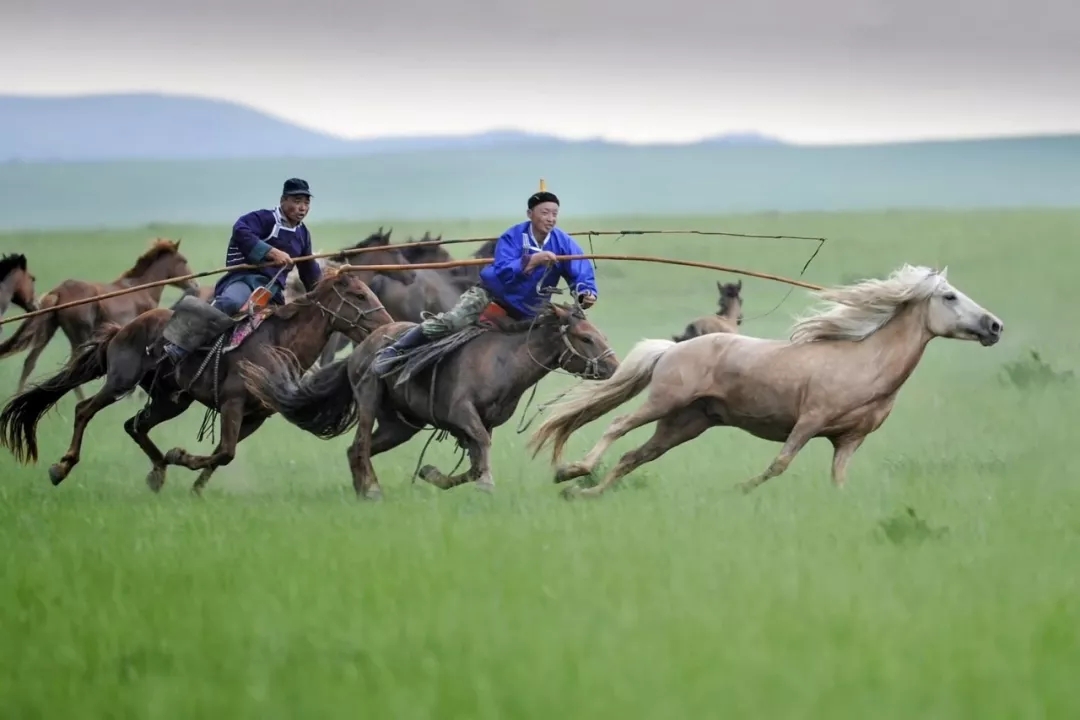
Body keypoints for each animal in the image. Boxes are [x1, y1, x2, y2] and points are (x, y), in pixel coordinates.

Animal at [0, 239, 198, 403]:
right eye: (184, 260)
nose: (194, 285)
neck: (142, 289)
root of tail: (59, 291)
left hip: (48, 331)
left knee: (30, 362)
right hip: (80, 336)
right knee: (71, 366)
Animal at [0, 264, 395, 496]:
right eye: (359, 294)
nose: (386, 324)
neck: (276, 342)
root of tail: (121, 330)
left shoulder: (254, 415)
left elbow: (223, 454)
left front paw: (192, 484)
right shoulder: (233, 404)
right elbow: (226, 452)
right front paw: (182, 458)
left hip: (171, 400)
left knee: (135, 425)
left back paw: (157, 473)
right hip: (120, 381)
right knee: (84, 409)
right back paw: (61, 467)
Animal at [240, 302, 622, 498]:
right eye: (586, 338)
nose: (615, 366)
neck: (501, 361)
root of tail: (359, 351)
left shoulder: (480, 423)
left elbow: (473, 461)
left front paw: (433, 473)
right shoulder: (462, 413)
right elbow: (480, 452)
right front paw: (486, 484)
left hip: (400, 426)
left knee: (356, 450)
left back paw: (363, 489)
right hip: (369, 399)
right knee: (360, 444)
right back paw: (372, 489)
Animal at [529, 266, 1002, 500]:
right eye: (949, 296)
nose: (995, 326)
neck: (866, 363)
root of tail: (673, 347)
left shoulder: (849, 440)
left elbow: (838, 481)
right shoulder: (809, 421)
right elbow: (779, 464)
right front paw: (739, 489)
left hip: (686, 423)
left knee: (634, 456)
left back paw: (585, 494)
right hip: (664, 402)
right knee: (616, 427)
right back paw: (572, 472)